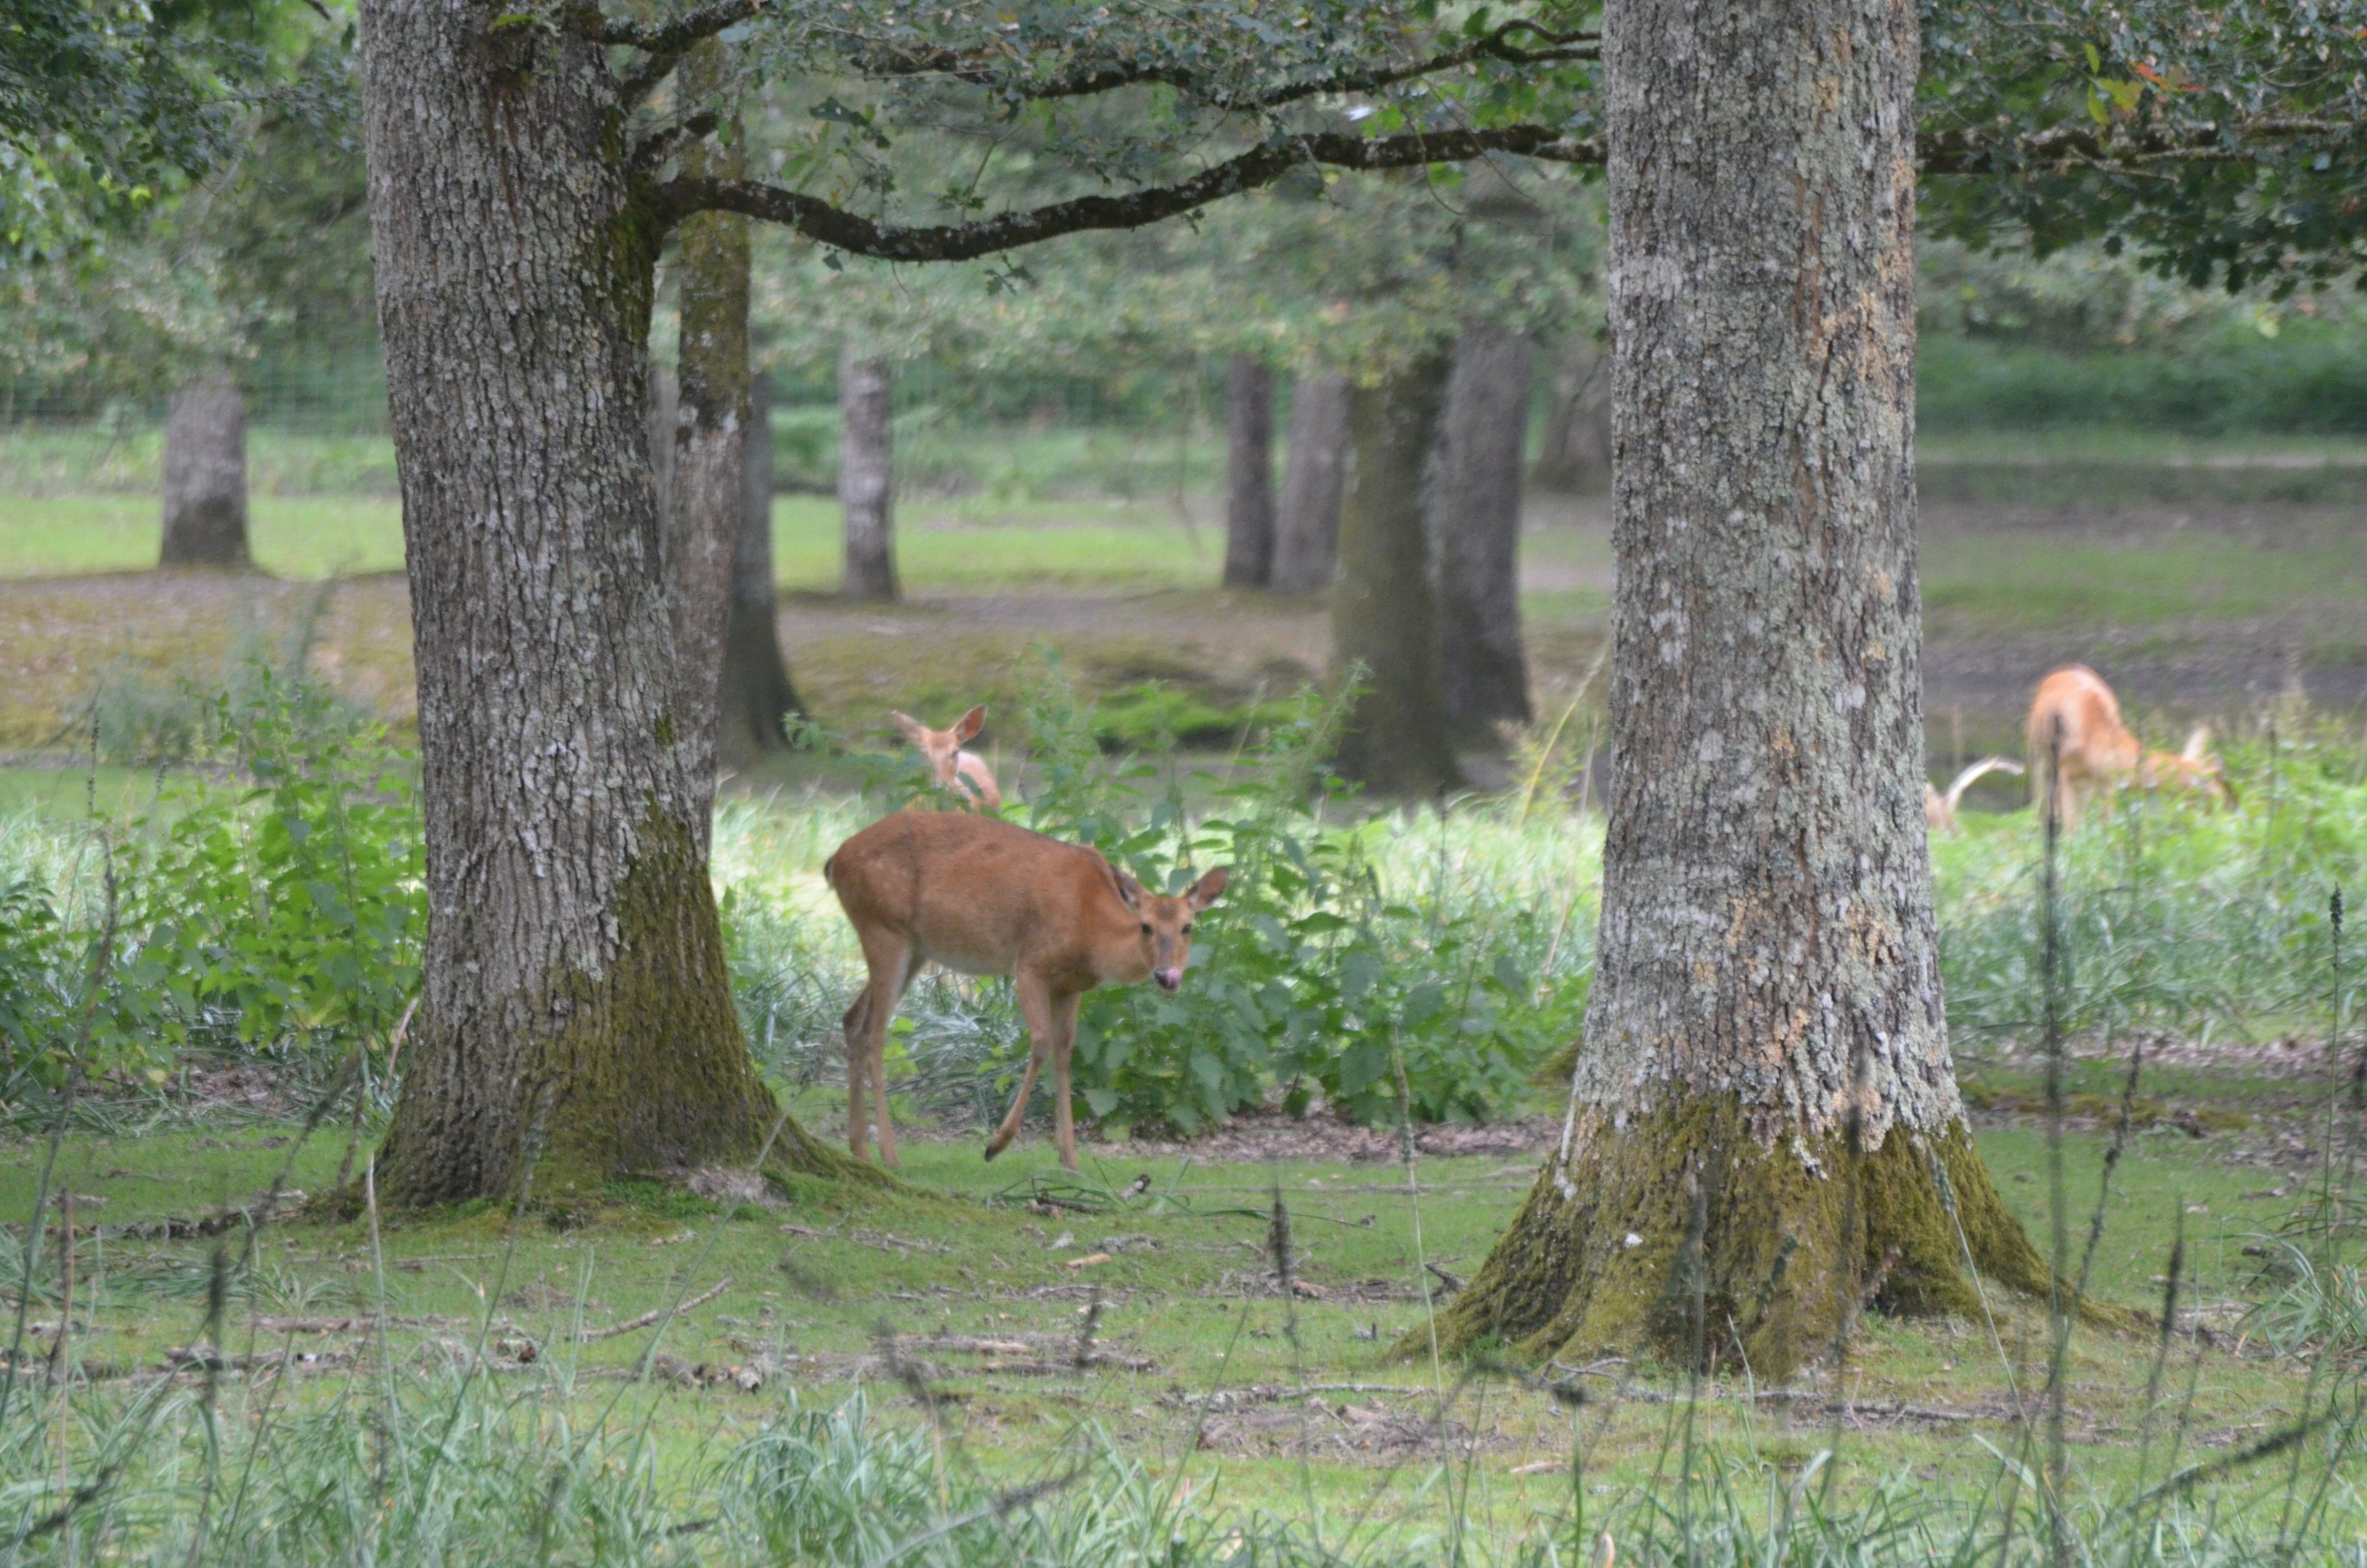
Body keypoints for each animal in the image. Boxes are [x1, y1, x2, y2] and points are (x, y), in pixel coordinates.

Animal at [823, 809, 1229, 1170]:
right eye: (1145, 926)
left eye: (1188, 927)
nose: (1167, 976)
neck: (1089, 933)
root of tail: (835, 860)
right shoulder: (1030, 965)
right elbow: (1041, 1044)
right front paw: (995, 1145)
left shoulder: (1071, 986)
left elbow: (1065, 1052)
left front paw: (1070, 1159)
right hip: (884, 927)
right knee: (876, 1033)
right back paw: (889, 1154)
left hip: (915, 947)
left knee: (852, 1019)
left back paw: (859, 1149)